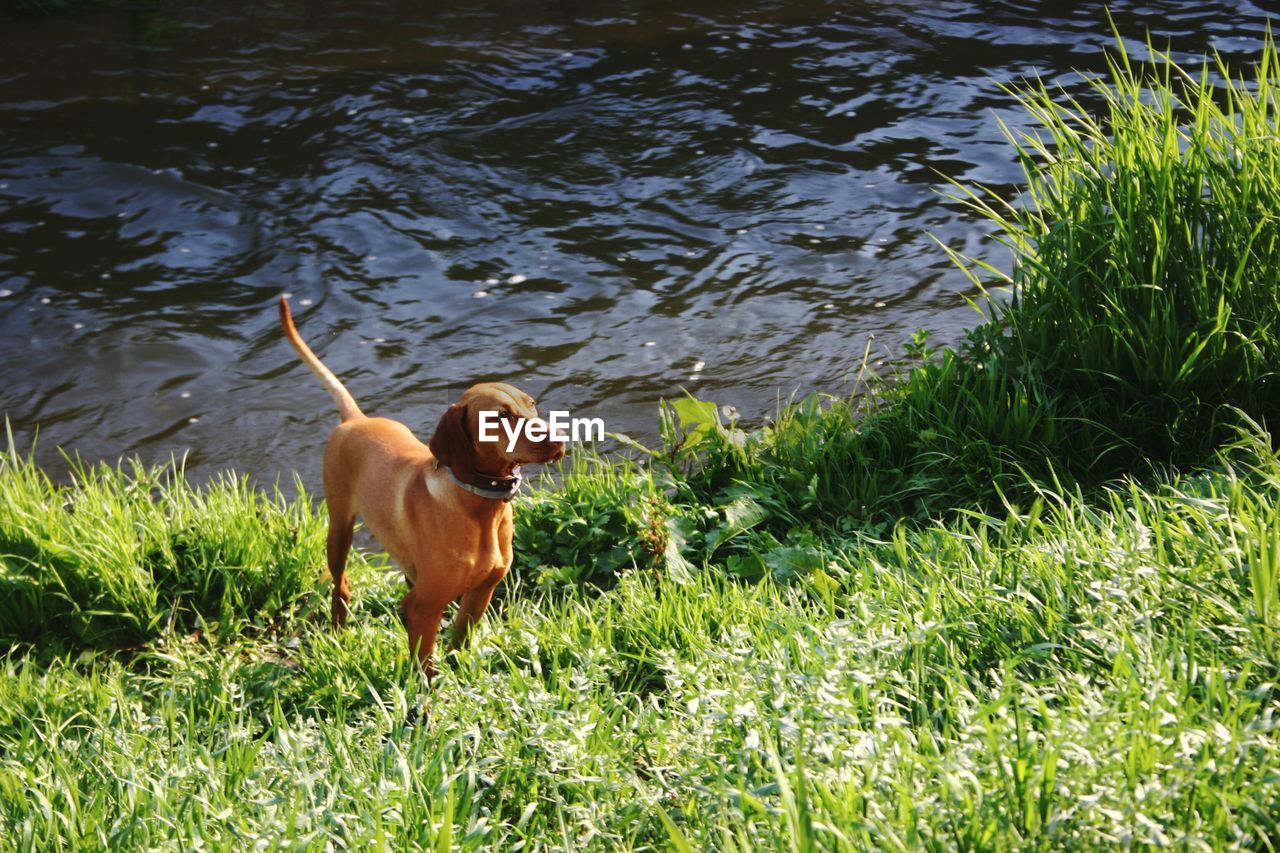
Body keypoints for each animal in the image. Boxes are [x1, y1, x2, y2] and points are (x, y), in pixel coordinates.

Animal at [280, 295, 565, 676]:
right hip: (339, 528)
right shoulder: (423, 606)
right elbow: (425, 666)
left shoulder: (481, 592)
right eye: (499, 416)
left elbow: (459, 643)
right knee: (340, 585)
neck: (480, 507)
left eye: (532, 404)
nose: (560, 438)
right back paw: (338, 630)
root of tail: (356, 419)